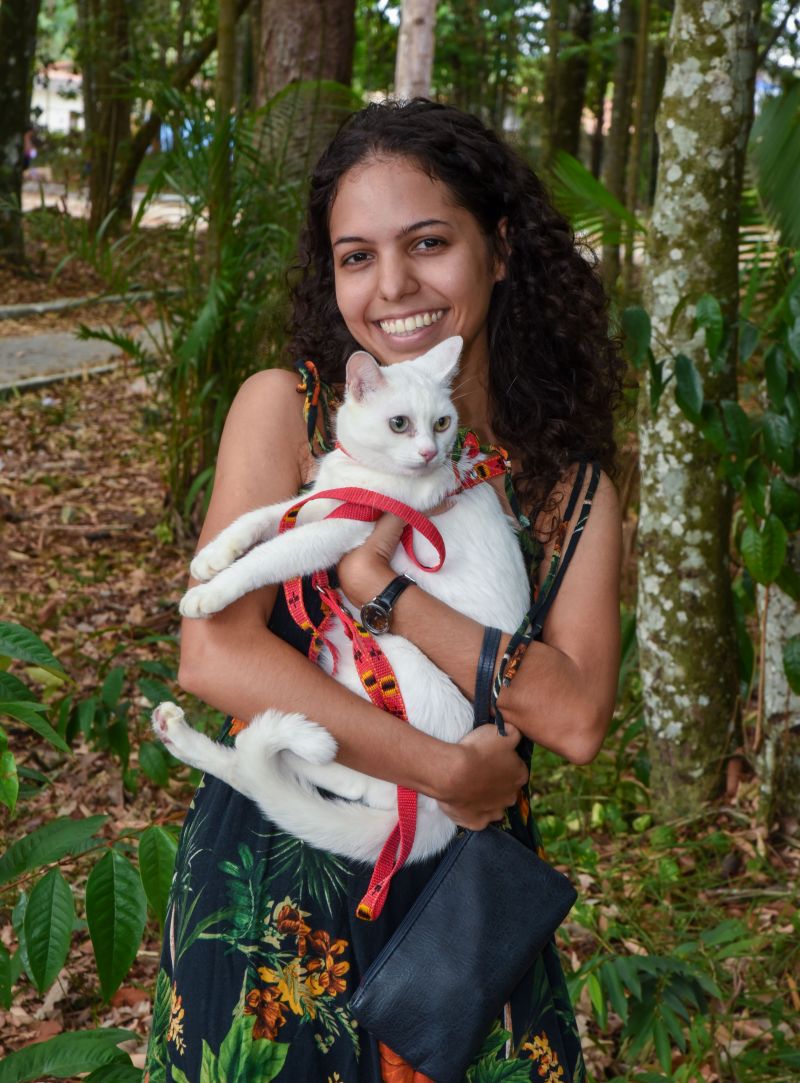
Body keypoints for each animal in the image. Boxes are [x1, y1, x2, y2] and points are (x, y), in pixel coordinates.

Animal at [153, 335, 532, 862]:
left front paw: (209, 595)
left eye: (441, 423)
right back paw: (181, 734)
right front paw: (210, 558)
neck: (361, 471)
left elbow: (270, 555)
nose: (429, 452)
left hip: (381, 666)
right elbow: (260, 519)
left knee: (356, 779)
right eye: (400, 423)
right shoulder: (316, 503)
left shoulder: (335, 530)